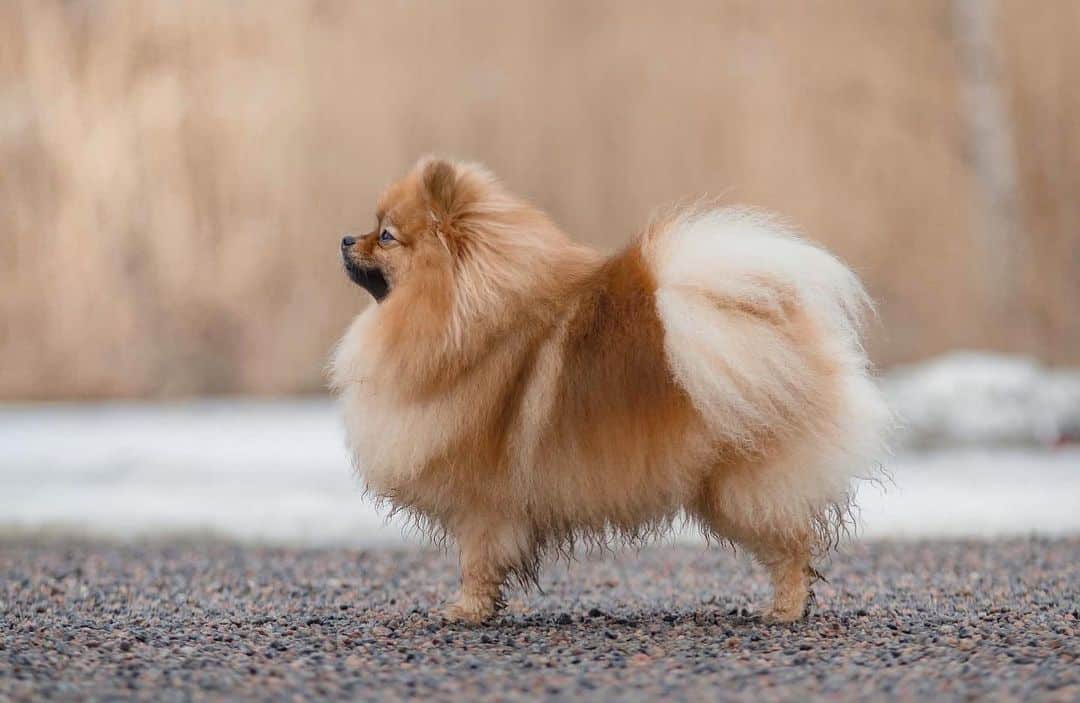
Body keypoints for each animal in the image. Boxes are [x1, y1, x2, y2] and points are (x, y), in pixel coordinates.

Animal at [330, 157, 885, 622]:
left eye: (385, 236)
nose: (344, 239)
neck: (466, 321)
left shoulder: (482, 502)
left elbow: (476, 561)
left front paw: (465, 611)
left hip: (742, 485)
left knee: (792, 546)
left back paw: (785, 609)